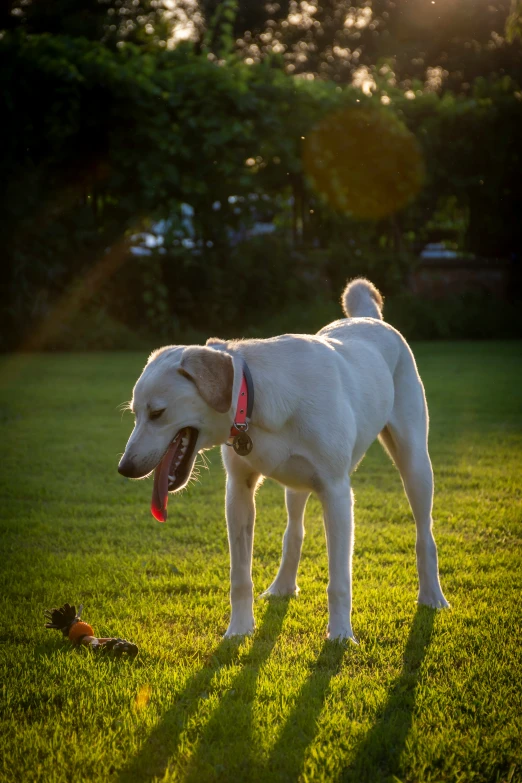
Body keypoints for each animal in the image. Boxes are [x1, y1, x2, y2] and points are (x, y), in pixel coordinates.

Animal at [118, 278, 446, 640]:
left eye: (157, 413)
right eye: (135, 414)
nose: (125, 468)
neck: (254, 397)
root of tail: (370, 318)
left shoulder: (337, 494)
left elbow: (339, 581)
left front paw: (341, 635)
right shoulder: (239, 491)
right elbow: (240, 577)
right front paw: (239, 630)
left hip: (415, 465)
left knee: (424, 534)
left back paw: (432, 596)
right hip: (297, 484)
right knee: (295, 533)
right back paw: (282, 587)